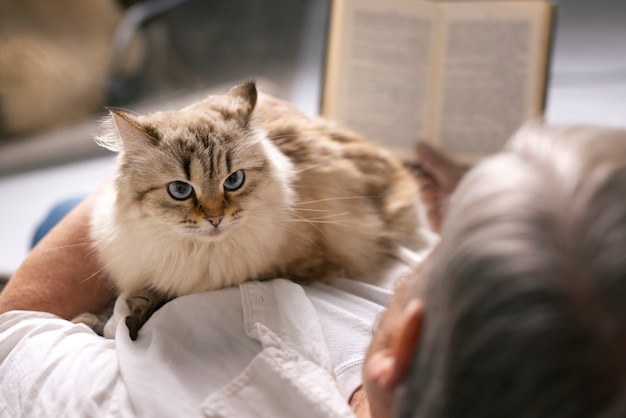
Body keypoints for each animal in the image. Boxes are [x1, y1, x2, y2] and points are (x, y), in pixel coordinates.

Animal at [80, 81, 434, 340]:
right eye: (180, 190)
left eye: (234, 181)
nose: (215, 219)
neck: (196, 253)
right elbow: (122, 302)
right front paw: (96, 320)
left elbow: (152, 301)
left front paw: (124, 321)